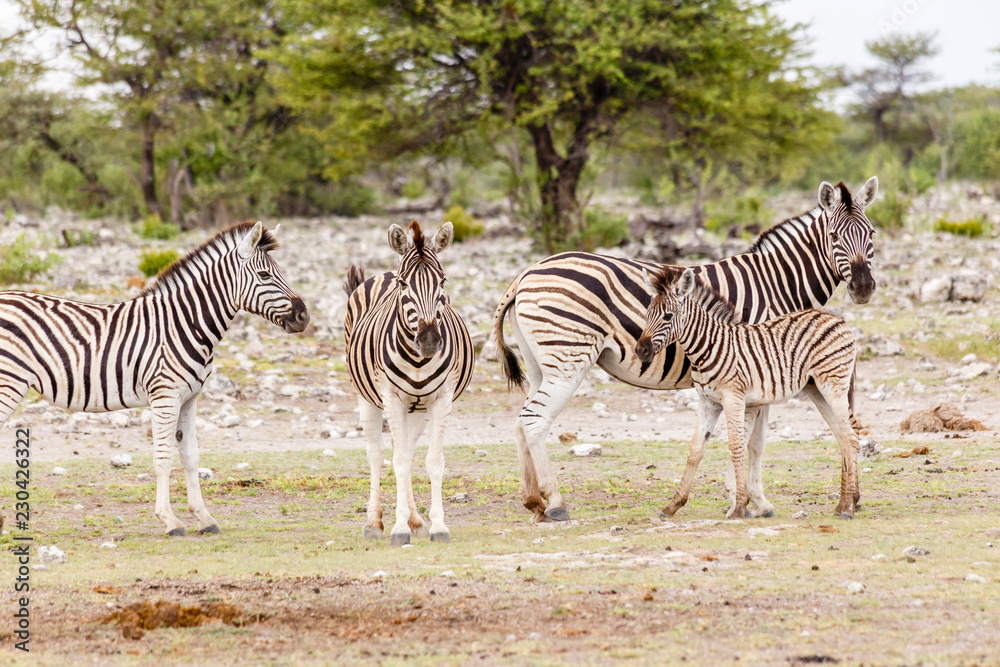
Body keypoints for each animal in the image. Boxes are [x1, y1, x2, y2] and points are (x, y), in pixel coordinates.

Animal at [0, 221, 309, 536]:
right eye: (265, 275)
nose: (303, 317)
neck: (184, 324)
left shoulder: (189, 398)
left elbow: (190, 456)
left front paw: (204, 517)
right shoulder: (165, 396)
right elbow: (163, 457)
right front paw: (170, 520)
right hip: (9, 383)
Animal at [344, 221, 474, 546]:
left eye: (443, 281)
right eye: (404, 285)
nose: (429, 341)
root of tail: (383, 273)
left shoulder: (441, 399)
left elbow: (432, 461)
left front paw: (437, 526)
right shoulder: (391, 398)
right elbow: (399, 461)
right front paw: (398, 529)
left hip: (417, 409)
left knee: (404, 449)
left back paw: (415, 519)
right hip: (366, 397)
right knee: (377, 454)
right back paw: (374, 522)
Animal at [636, 267, 860, 519]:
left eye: (668, 316)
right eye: (647, 314)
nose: (641, 350)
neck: (708, 348)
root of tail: (837, 319)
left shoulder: (734, 398)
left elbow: (736, 446)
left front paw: (739, 507)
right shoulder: (707, 402)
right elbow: (696, 449)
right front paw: (673, 505)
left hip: (833, 386)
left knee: (851, 438)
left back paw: (848, 508)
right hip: (817, 391)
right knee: (843, 437)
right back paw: (843, 504)